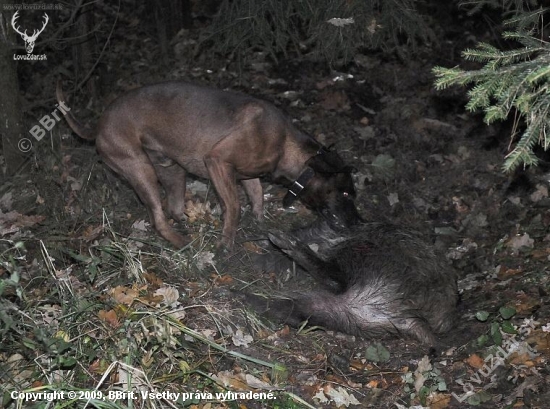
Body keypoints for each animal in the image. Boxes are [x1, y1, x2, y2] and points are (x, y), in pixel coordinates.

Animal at [57, 79, 362, 245]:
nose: (360, 223)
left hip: (172, 170)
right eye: (347, 193)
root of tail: (97, 126)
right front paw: (227, 244)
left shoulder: (249, 175)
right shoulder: (218, 162)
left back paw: (186, 225)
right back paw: (181, 242)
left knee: (174, 208)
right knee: (158, 218)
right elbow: (235, 207)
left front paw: (260, 221)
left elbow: (257, 196)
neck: (286, 143)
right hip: (141, 170)